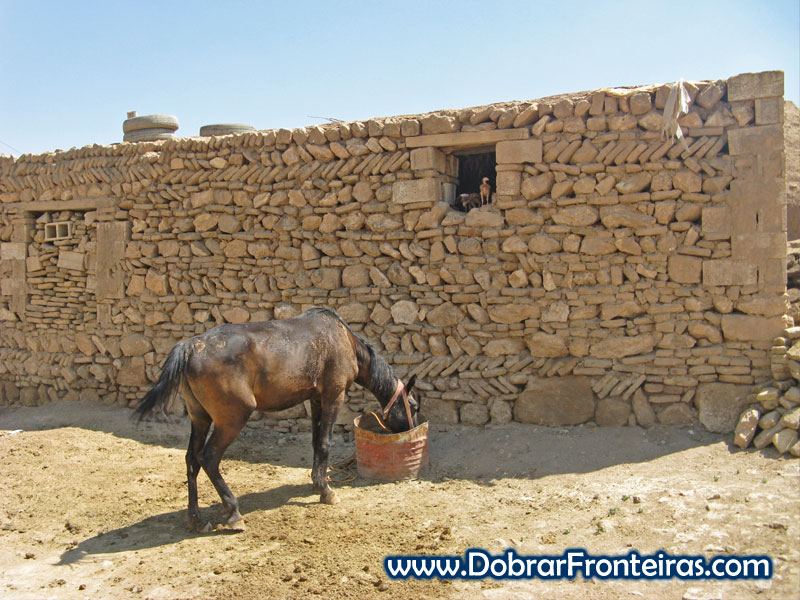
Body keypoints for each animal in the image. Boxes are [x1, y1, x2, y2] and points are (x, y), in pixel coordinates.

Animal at [134, 307, 420, 533]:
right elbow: (325, 443)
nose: (412, 430)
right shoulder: (333, 396)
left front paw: (316, 481)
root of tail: (191, 347)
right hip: (231, 420)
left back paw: (196, 519)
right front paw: (326, 491)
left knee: (192, 460)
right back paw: (233, 512)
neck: (343, 339)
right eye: (414, 406)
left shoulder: (316, 399)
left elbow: (316, 441)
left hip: (200, 418)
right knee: (209, 458)